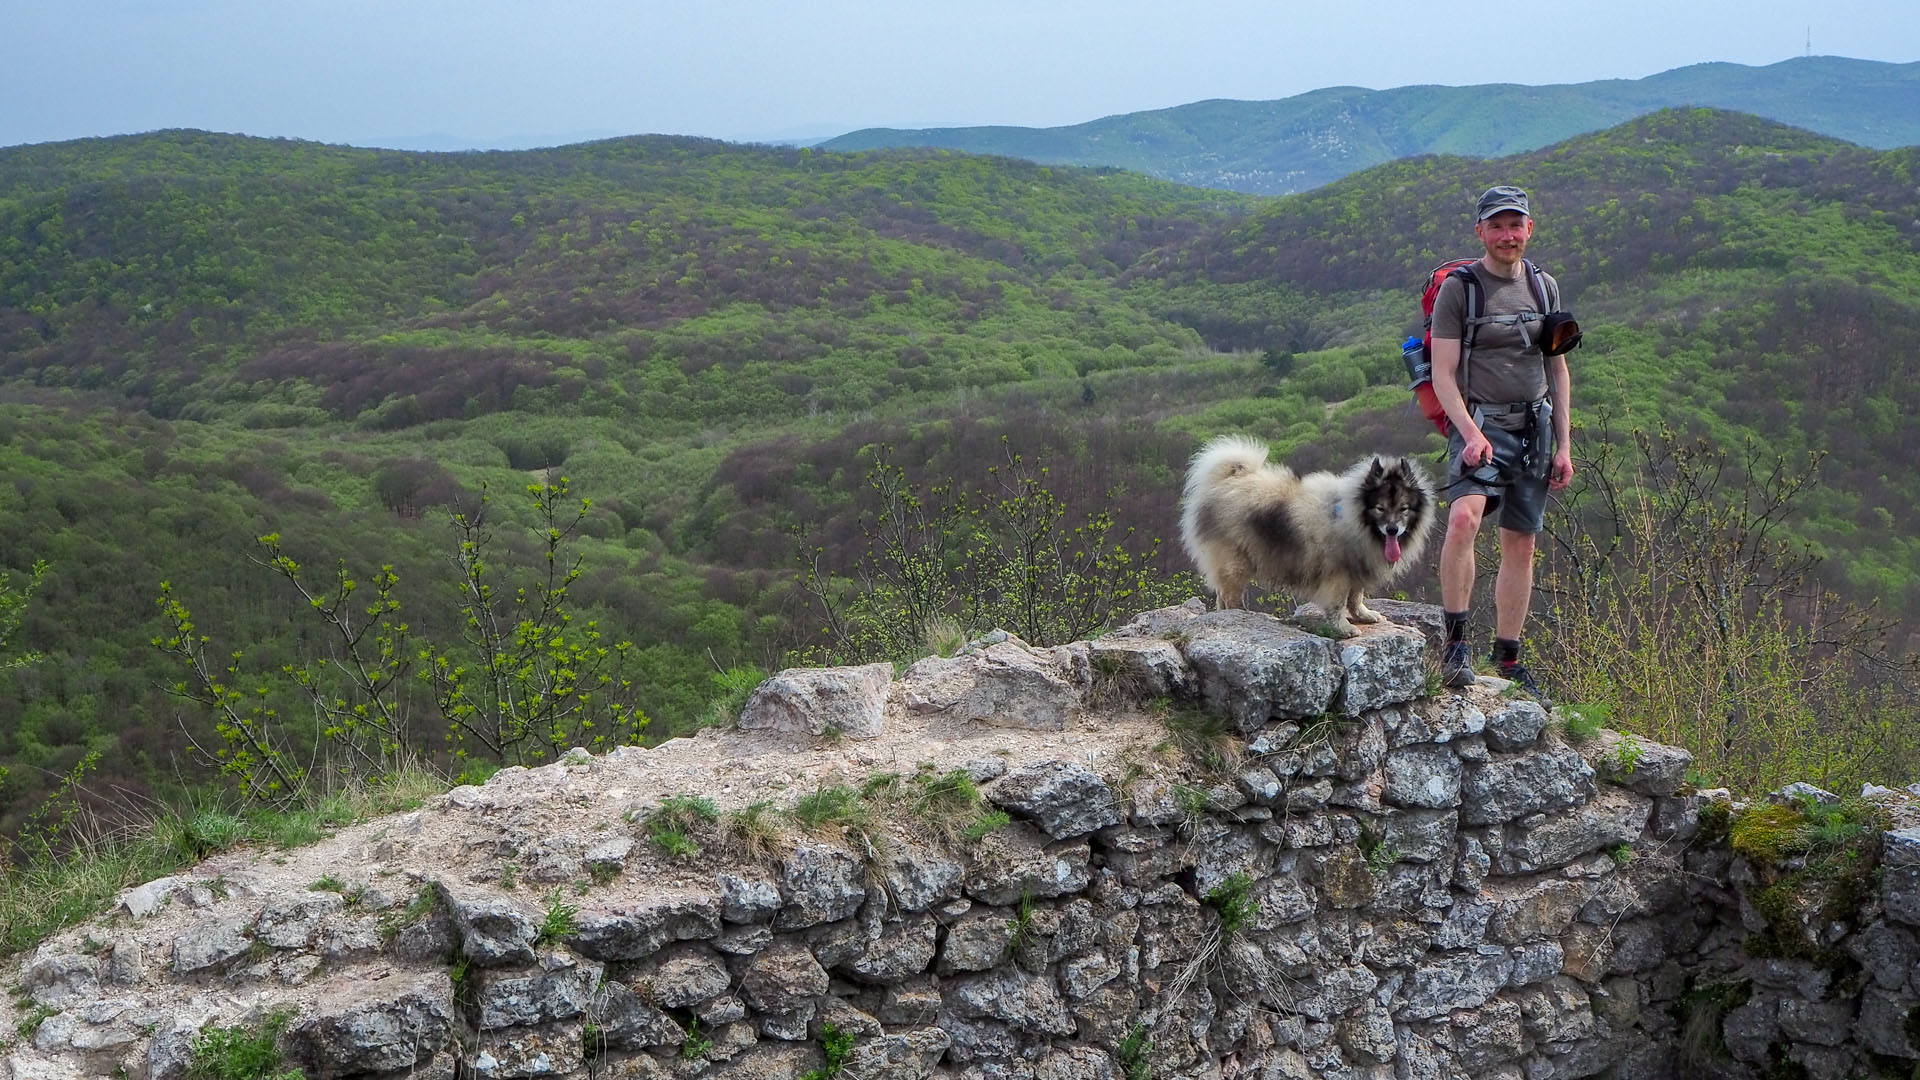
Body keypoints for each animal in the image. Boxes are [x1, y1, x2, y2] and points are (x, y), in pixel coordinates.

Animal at [1175, 430, 1436, 630]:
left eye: (1403, 508)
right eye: (1380, 508)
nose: (1392, 530)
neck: (1352, 518)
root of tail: (1224, 481)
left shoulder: (1357, 566)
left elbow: (1356, 597)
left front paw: (1363, 615)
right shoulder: (1338, 573)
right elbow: (1337, 602)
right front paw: (1343, 627)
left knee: (1221, 597)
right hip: (1235, 561)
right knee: (1229, 596)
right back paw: (1239, 615)